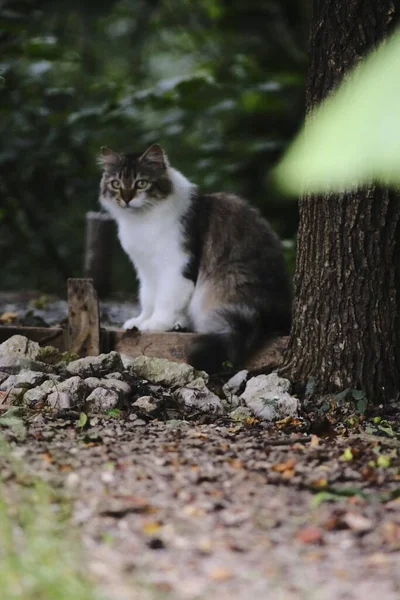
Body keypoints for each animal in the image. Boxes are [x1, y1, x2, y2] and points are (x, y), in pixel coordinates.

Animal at [98, 144, 292, 372]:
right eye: (116, 184)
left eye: (141, 183)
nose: (126, 199)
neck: (141, 222)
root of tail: (270, 313)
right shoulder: (146, 269)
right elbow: (147, 298)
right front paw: (140, 321)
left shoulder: (176, 265)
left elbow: (164, 300)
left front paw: (155, 324)